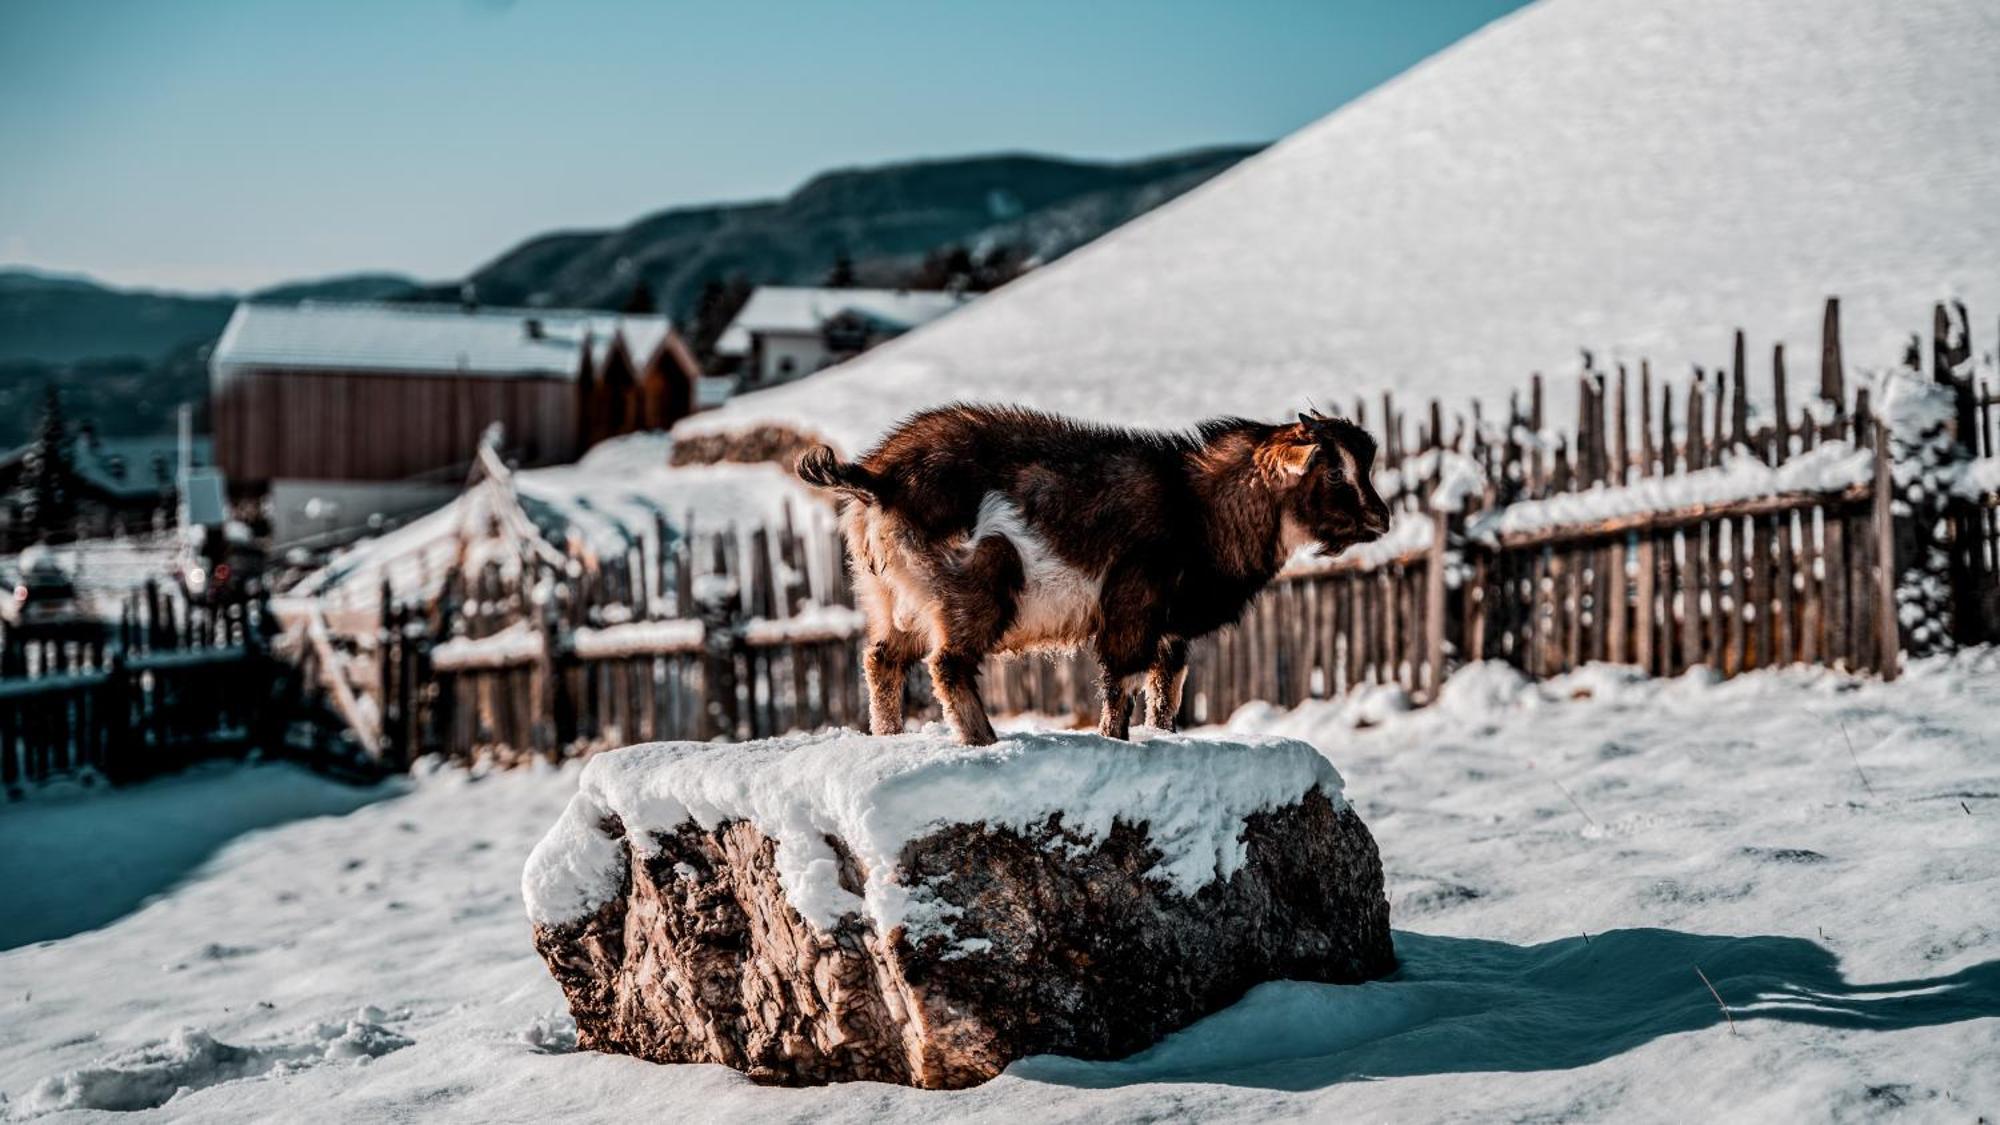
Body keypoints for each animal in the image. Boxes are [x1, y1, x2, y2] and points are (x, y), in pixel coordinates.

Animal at [796, 404, 1392, 744]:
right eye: (1333, 471)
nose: (1381, 519)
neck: (1197, 508)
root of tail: (879, 480)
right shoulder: (1131, 608)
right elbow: (1118, 684)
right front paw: (1116, 740)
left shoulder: (1168, 631)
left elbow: (1167, 689)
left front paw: (1161, 737)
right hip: (972, 584)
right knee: (947, 664)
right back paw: (985, 740)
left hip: (888, 596)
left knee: (882, 659)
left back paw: (889, 737)